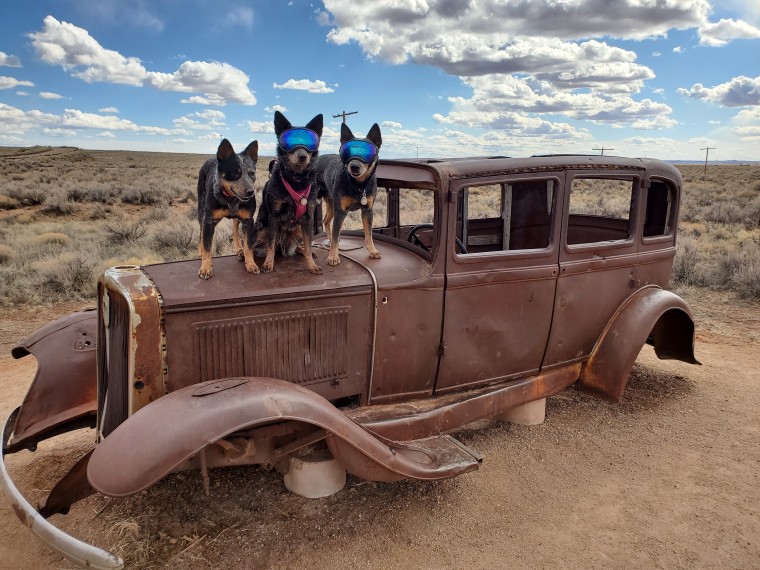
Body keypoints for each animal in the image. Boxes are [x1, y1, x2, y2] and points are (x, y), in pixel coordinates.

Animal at [197, 138, 260, 280]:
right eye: (235, 173)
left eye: (252, 173)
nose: (250, 192)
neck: (231, 200)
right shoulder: (209, 220)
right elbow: (207, 246)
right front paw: (205, 267)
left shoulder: (248, 221)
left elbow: (248, 246)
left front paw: (251, 264)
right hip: (201, 210)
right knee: (201, 232)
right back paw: (200, 250)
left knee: (235, 227)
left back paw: (238, 247)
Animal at [255, 110, 324, 274]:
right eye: (290, 142)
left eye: (310, 142)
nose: (303, 156)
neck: (296, 179)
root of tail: (282, 246)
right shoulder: (273, 216)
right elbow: (270, 245)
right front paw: (268, 264)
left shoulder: (308, 218)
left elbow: (309, 243)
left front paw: (311, 265)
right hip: (262, 229)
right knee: (256, 246)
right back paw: (243, 254)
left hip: (297, 230)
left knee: (299, 246)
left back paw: (303, 251)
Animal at [314, 122, 382, 264]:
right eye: (347, 152)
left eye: (367, 153)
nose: (354, 166)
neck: (359, 185)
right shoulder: (341, 211)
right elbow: (336, 233)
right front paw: (333, 256)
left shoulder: (367, 211)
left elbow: (369, 234)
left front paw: (372, 250)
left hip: (331, 204)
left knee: (326, 221)